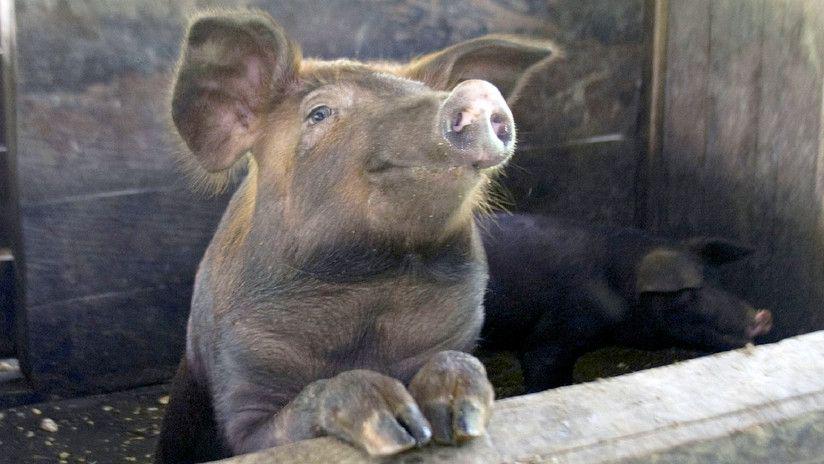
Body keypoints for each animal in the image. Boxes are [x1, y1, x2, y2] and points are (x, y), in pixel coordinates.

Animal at [154, 10, 552, 464]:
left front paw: (459, 417)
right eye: (320, 113)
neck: (371, 287)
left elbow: (458, 360)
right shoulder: (238, 386)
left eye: (429, 92)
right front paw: (397, 428)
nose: (476, 91)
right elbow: (276, 429)